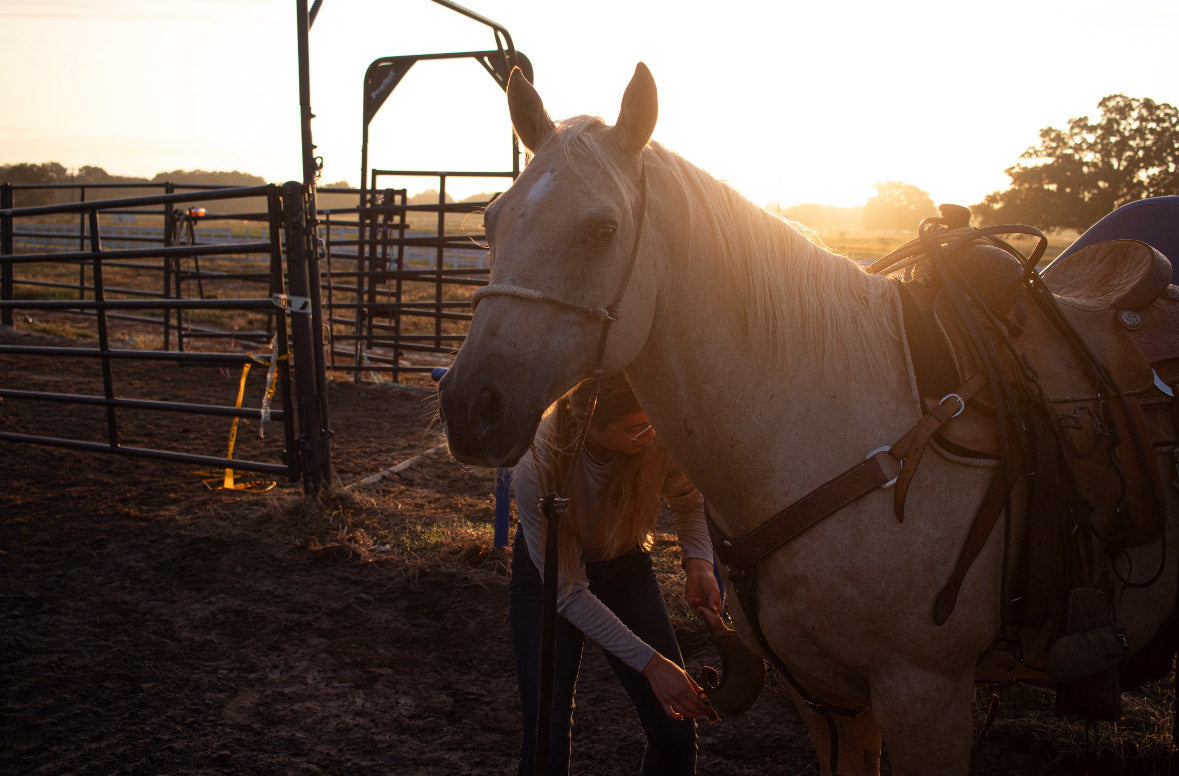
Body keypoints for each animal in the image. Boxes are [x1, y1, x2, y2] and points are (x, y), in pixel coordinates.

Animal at [437, 63, 1179, 775]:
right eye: (491, 222)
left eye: (602, 229)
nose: (469, 407)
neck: (830, 426)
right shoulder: (827, 701)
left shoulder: (925, 694)